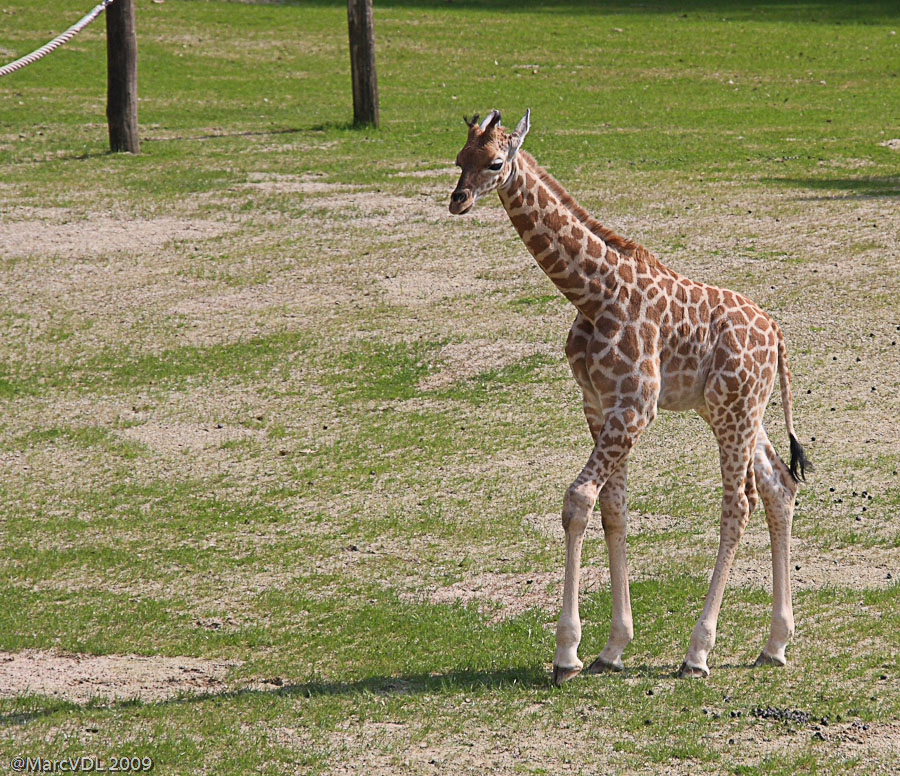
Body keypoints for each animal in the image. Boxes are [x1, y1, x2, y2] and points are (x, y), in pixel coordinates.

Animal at [448, 107, 808, 680]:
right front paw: (611, 647)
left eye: (496, 162)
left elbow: (578, 500)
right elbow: (612, 508)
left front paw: (566, 654)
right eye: (460, 157)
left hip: (734, 411)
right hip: (737, 408)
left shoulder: (635, 407)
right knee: (779, 486)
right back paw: (774, 644)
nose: (457, 199)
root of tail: (775, 332)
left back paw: (697, 653)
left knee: (738, 503)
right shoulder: (598, 405)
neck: (592, 293)